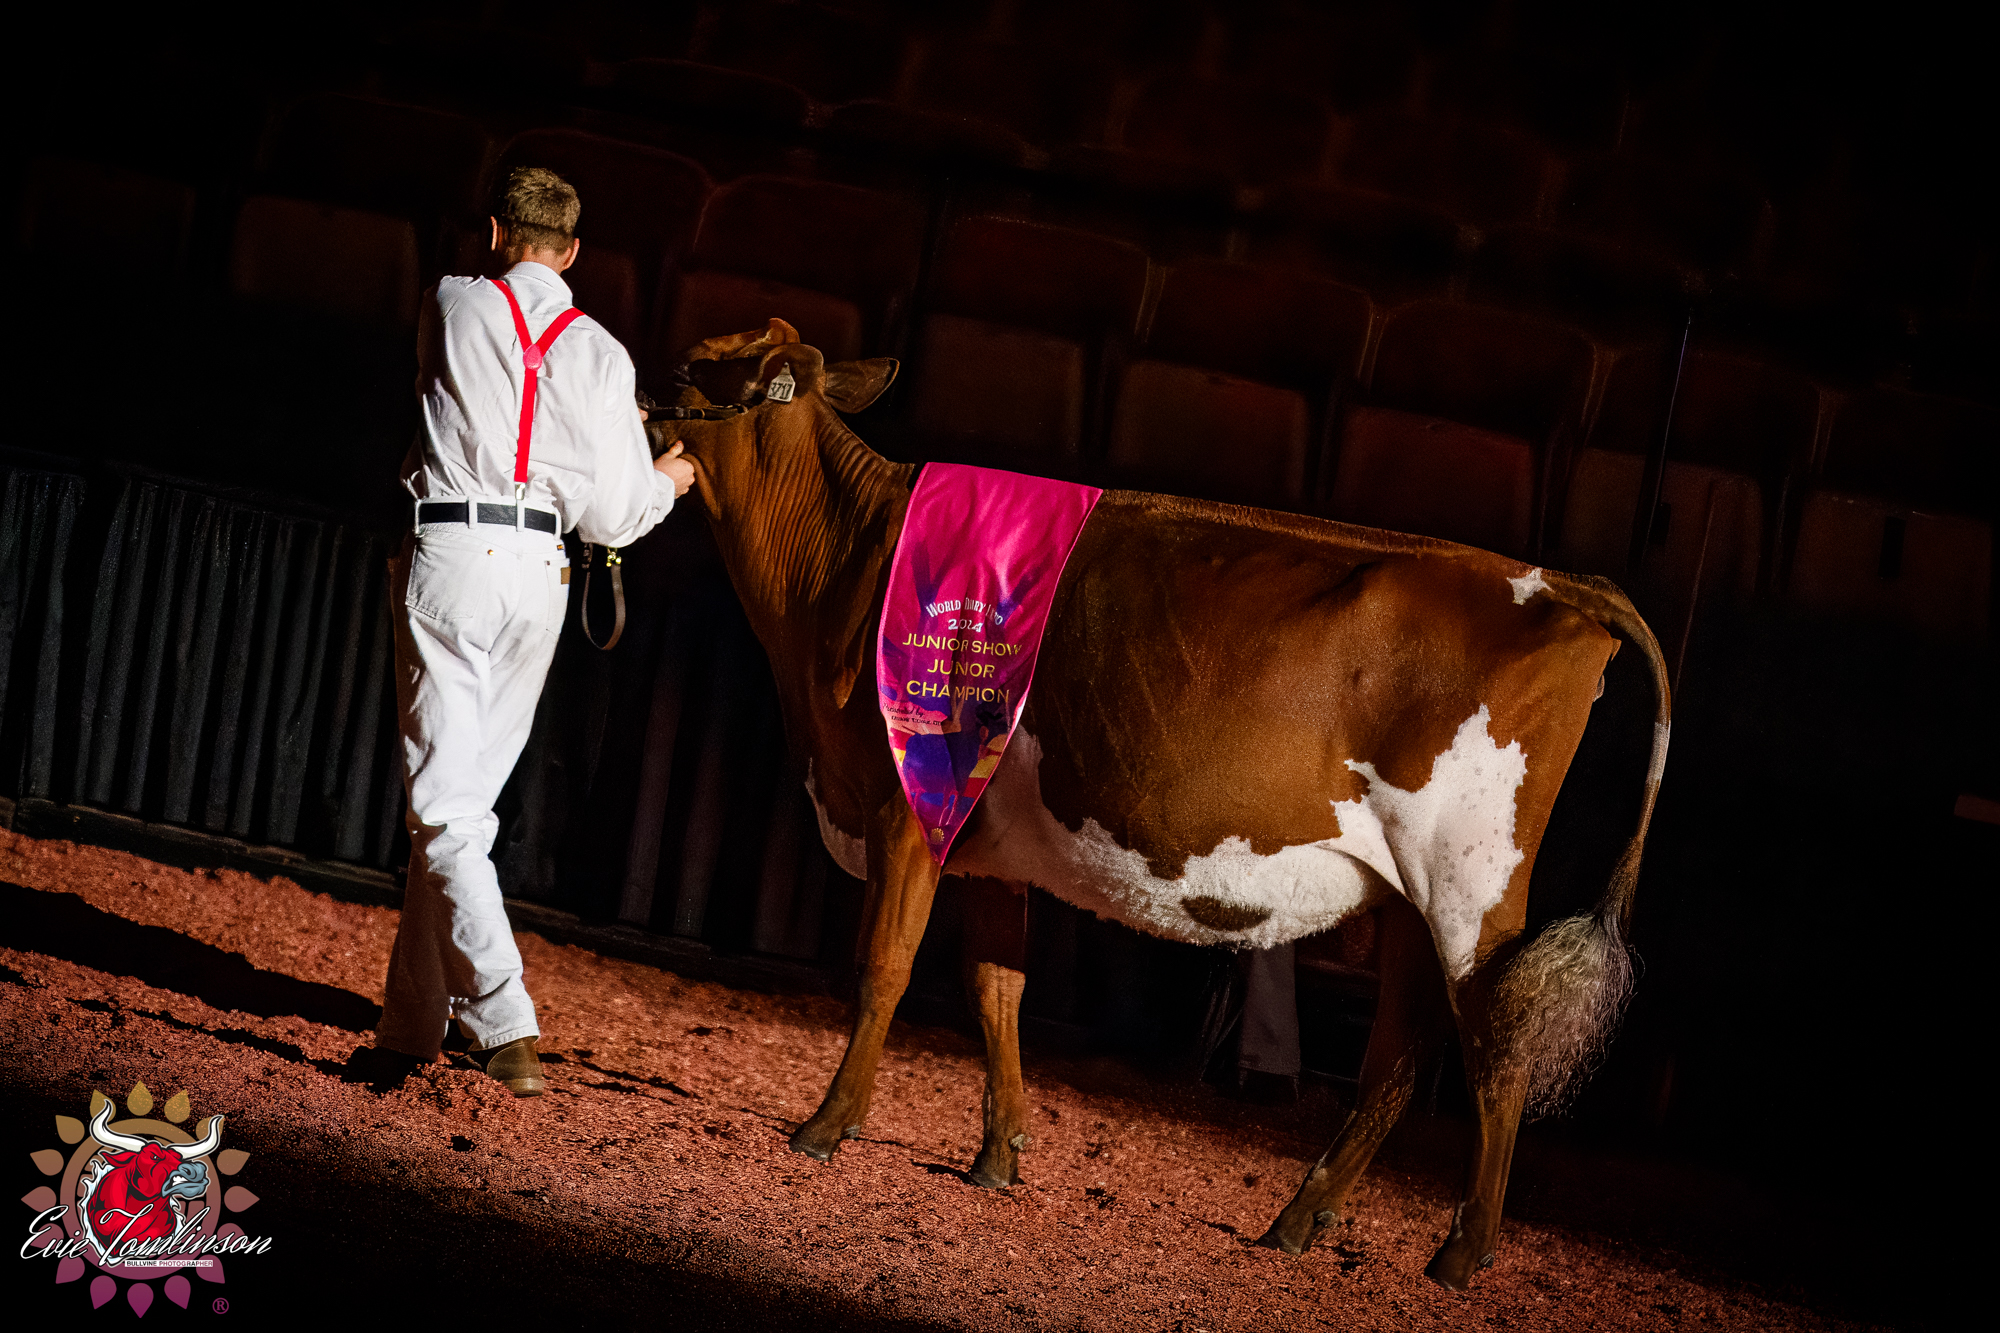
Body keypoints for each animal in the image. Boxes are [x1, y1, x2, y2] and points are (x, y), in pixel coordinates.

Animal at [650, 319, 1670, 1288]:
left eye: (691, 371)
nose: (640, 401)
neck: (841, 563)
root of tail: (1567, 583)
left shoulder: (907, 802)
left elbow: (882, 969)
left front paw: (826, 1126)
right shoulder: (980, 838)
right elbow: (996, 988)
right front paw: (997, 1157)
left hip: (1472, 885)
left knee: (1498, 1050)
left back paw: (1462, 1254)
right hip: (1414, 902)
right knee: (1398, 1054)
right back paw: (1299, 1220)